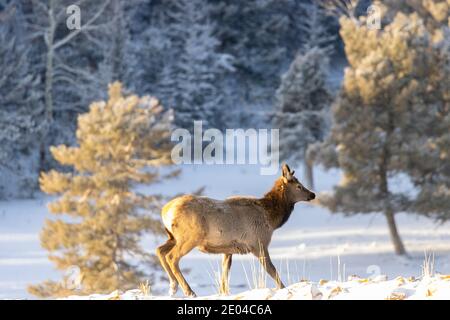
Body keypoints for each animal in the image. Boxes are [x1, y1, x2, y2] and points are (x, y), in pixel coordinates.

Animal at [156, 165, 314, 298]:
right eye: (299, 186)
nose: (312, 194)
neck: (271, 219)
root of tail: (165, 211)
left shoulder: (229, 249)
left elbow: (225, 274)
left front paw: (223, 293)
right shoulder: (258, 243)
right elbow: (271, 269)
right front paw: (284, 288)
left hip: (173, 237)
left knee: (160, 250)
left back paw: (173, 286)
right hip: (190, 237)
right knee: (172, 256)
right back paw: (189, 291)